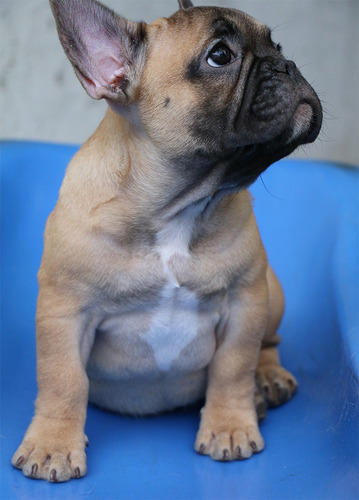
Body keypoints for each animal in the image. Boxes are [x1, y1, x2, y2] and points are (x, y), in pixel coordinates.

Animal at [13, 0, 324, 484]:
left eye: (277, 45)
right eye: (220, 56)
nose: (287, 65)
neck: (177, 210)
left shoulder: (246, 302)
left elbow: (233, 367)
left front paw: (230, 426)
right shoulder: (64, 312)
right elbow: (63, 380)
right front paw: (52, 446)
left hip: (272, 291)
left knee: (268, 345)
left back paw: (266, 382)